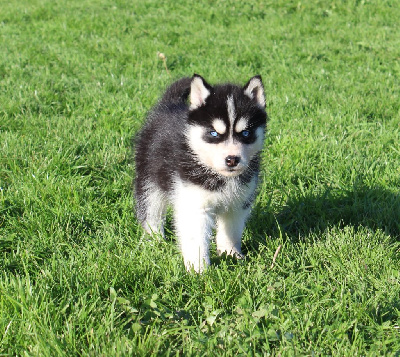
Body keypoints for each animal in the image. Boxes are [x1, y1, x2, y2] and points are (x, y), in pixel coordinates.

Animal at [135, 74, 268, 270]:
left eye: (245, 133)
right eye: (213, 133)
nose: (232, 159)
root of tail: (169, 104)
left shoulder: (238, 203)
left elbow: (231, 231)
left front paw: (232, 255)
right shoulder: (194, 204)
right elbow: (196, 239)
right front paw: (198, 269)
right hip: (148, 179)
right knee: (151, 211)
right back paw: (155, 240)